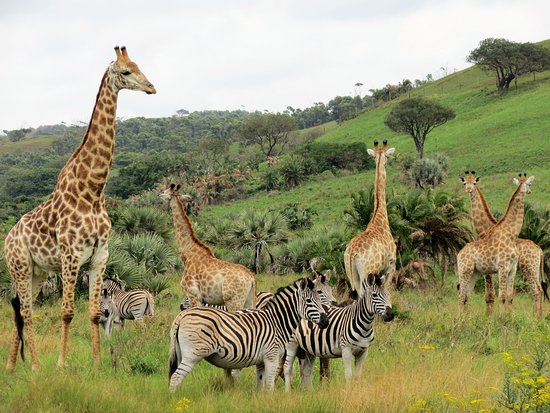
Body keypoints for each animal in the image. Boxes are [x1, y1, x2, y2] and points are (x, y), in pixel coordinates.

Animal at [5, 45, 157, 370]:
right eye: (126, 71)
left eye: (139, 65)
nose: (152, 87)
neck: (92, 191)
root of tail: (8, 239)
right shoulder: (71, 255)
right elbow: (67, 312)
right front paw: (62, 364)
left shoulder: (100, 256)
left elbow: (95, 313)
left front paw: (98, 363)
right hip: (19, 267)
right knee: (25, 312)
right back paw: (35, 366)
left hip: (37, 273)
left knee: (23, 311)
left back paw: (12, 366)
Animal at [157, 182, 256, 310]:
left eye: (165, 191)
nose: (159, 194)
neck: (188, 252)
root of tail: (251, 278)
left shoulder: (193, 294)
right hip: (249, 300)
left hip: (233, 301)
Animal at [168, 276, 330, 392]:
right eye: (309, 301)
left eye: (320, 299)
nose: (326, 321)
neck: (277, 322)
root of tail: (182, 315)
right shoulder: (271, 357)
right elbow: (269, 386)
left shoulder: (261, 362)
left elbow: (260, 386)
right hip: (192, 355)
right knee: (176, 378)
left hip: (181, 353)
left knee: (175, 377)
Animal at [344, 140, 396, 294]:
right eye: (388, 157)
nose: (387, 163)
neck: (380, 217)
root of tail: (352, 254)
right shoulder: (390, 266)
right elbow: (388, 292)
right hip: (367, 274)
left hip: (352, 276)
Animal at [462, 171, 548, 316]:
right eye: (464, 183)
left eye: (474, 183)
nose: (468, 190)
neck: (486, 227)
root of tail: (540, 250)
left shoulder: (490, 270)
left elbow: (490, 295)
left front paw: (490, 316)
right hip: (534, 269)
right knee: (540, 289)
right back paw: (538, 316)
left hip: (528, 268)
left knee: (536, 290)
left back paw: (536, 316)